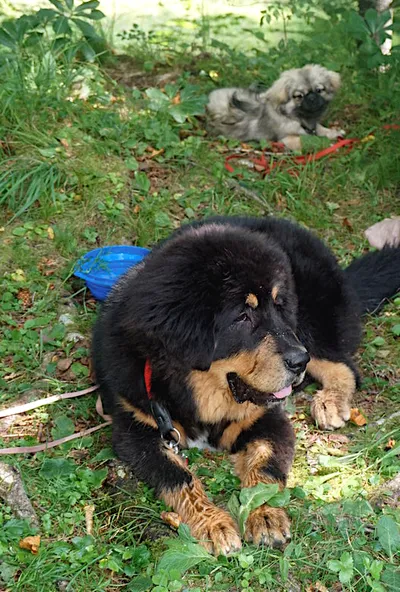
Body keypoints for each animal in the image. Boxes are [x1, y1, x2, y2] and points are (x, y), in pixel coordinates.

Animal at [92, 216, 400, 555]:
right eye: (242, 316)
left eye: (279, 306)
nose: (298, 361)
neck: (196, 393)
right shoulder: (138, 431)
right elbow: (180, 478)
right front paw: (213, 523)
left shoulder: (268, 419)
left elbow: (265, 470)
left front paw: (265, 515)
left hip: (309, 327)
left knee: (344, 366)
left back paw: (330, 401)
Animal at [206, 64, 345, 150]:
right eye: (298, 96)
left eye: (319, 90)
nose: (311, 98)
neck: (297, 118)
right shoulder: (288, 139)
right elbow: (312, 139)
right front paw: (328, 144)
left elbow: (321, 129)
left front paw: (334, 132)